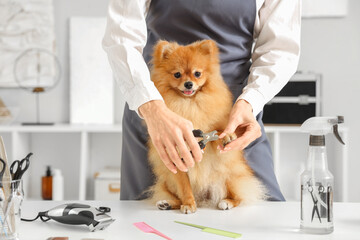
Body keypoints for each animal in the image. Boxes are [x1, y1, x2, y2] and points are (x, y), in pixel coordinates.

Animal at [146, 39, 264, 214]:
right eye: (177, 74)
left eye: (197, 73)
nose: (188, 84)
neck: (189, 105)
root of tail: (204, 197)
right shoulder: (178, 161)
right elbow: (185, 188)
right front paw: (189, 204)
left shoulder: (213, 138)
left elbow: (217, 133)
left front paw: (227, 136)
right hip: (168, 180)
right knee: (177, 194)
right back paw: (168, 203)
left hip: (229, 175)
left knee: (239, 196)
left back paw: (227, 202)